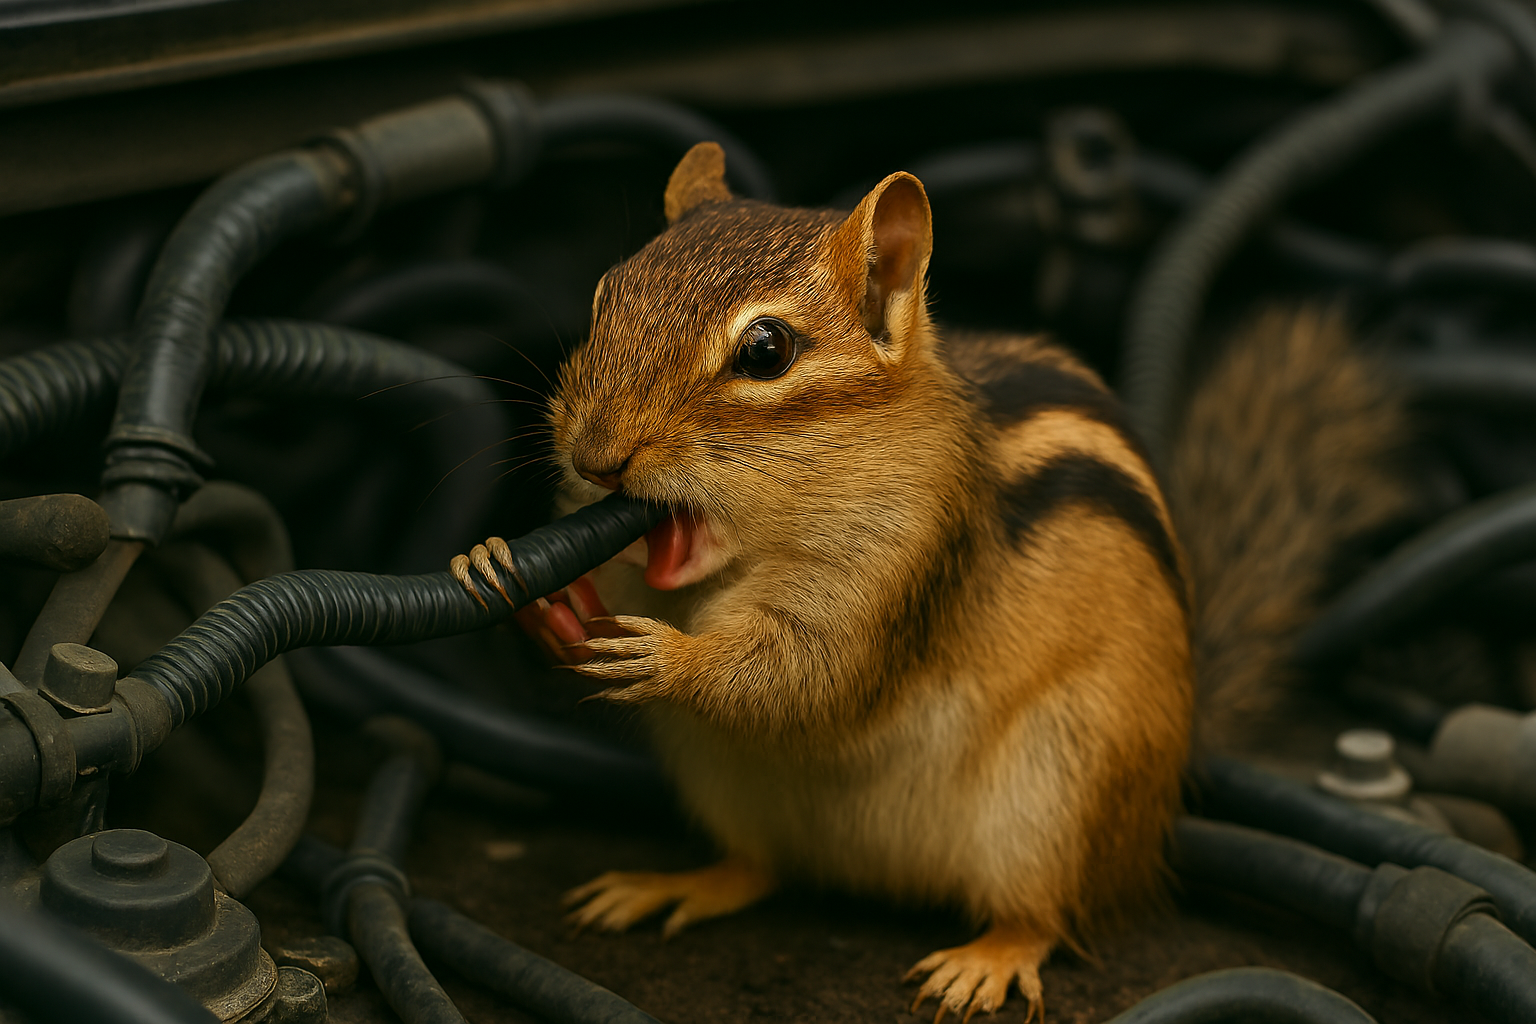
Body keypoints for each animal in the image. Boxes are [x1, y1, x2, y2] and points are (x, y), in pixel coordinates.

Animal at [451, 141, 1409, 1022]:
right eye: (603, 297)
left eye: (765, 350)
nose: (596, 457)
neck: (757, 548)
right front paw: (503, 570)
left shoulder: (904, 567)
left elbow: (813, 674)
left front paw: (670, 661)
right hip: (721, 776)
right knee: (758, 866)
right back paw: (672, 884)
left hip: (1059, 790)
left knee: (1046, 913)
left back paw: (986, 959)